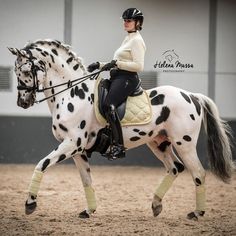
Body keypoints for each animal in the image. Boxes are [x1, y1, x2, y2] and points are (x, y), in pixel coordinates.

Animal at [8, 39, 235, 220]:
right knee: (175, 168)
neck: (71, 93)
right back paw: (156, 205)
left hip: (184, 144)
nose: (22, 102)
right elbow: (86, 180)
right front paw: (88, 211)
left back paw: (196, 213)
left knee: (198, 173)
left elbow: (41, 164)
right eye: (16, 72)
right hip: (159, 143)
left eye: (26, 71)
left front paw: (30, 204)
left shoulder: (72, 144)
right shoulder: (78, 150)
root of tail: (192, 95)